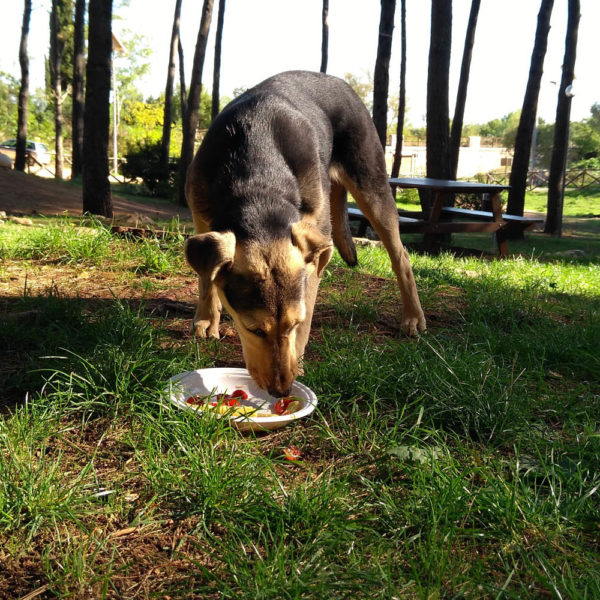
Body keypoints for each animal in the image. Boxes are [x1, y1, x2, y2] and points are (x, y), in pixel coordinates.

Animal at [185, 70, 424, 396]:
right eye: (253, 329)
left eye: (293, 325)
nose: (281, 391)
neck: (258, 181)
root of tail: (338, 81)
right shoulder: (201, 215)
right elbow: (206, 280)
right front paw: (207, 319)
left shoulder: (313, 253)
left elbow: (308, 306)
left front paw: (297, 357)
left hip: (371, 185)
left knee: (401, 256)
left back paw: (413, 316)